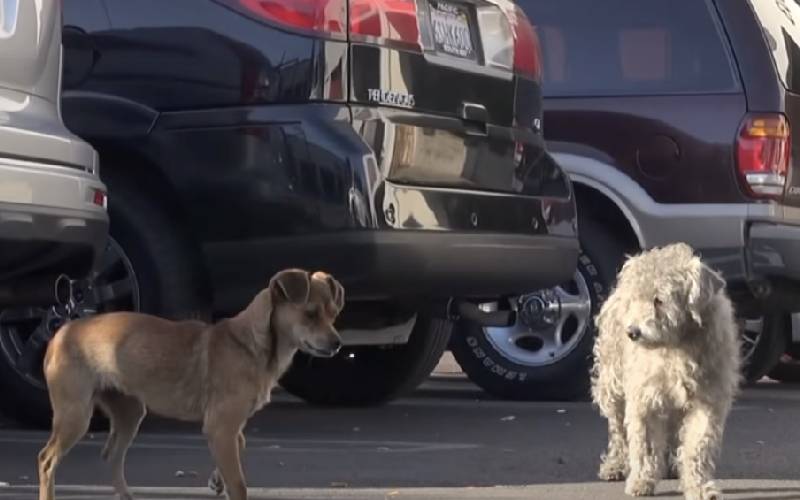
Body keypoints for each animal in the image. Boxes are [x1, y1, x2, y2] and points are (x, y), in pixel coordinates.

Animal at [37, 270, 344, 500]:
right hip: (76, 416)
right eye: (310, 314)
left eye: (333, 314)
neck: (250, 344)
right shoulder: (220, 427)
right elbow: (239, 485)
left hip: (130, 414)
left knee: (112, 455)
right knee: (47, 460)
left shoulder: (227, 429)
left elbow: (240, 444)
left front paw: (216, 480)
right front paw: (224, 482)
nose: (338, 343)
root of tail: (63, 331)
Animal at [592, 240, 740, 498]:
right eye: (635, 300)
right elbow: (646, 444)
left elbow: (697, 446)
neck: (676, 346)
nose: (632, 332)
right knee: (618, 430)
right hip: (612, 386)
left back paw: (672, 464)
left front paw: (698, 486)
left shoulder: (707, 400)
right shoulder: (644, 398)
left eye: (659, 300)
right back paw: (616, 465)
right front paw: (641, 480)